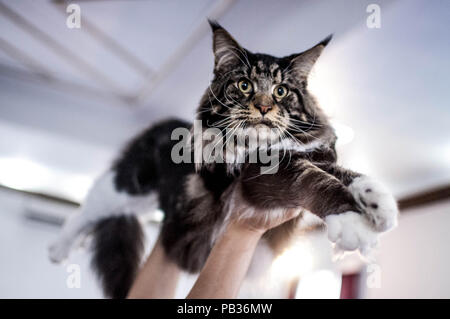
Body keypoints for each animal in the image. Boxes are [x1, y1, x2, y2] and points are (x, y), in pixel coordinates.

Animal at [49, 20, 398, 300]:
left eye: (281, 91)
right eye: (244, 85)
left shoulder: (313, 154)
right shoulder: (266, 175)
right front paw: (352, 221)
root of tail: (164, 124)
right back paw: (59, 247)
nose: (263, 107)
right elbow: (316, 181)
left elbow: (345, 173)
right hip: (129, 184)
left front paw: (378, 202)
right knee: (90, 205)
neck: (266, 147)